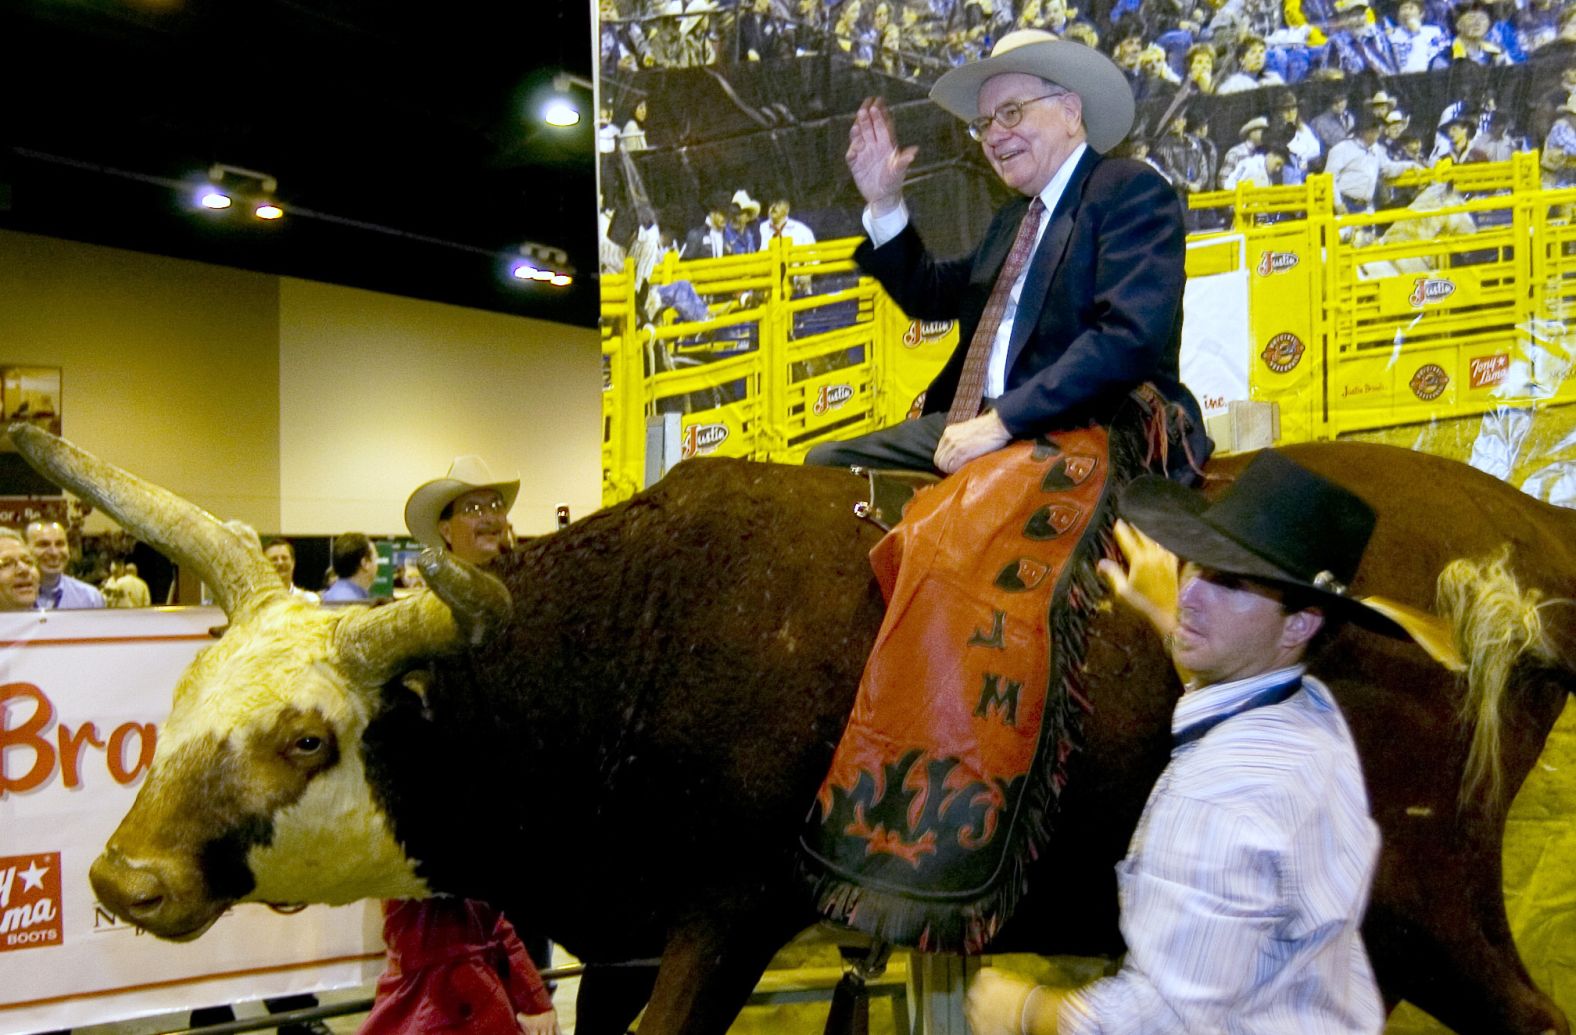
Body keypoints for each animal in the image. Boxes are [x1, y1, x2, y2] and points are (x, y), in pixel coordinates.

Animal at [12, 422, 1576, 1033]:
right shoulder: (627, 933)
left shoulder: (726, 917)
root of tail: (1518, 531)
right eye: (180, 704)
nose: (126, 878)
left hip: (1428, 908)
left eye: (305, 738)